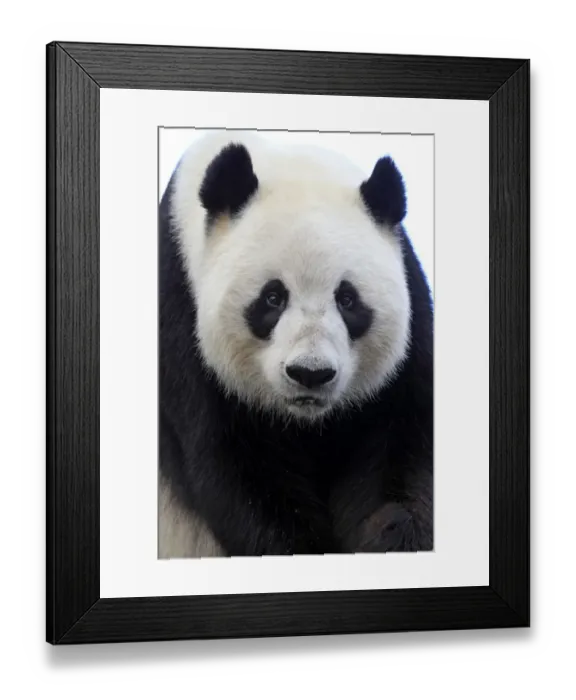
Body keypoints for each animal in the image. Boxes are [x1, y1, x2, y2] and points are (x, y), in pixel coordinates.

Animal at [158, 131, 433, 558]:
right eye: (273, 298)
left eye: (347, 299)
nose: (311, 374)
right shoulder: (183, 337)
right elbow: (240, 478)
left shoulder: (403, 361)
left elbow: (400, 456)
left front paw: (396, 535)